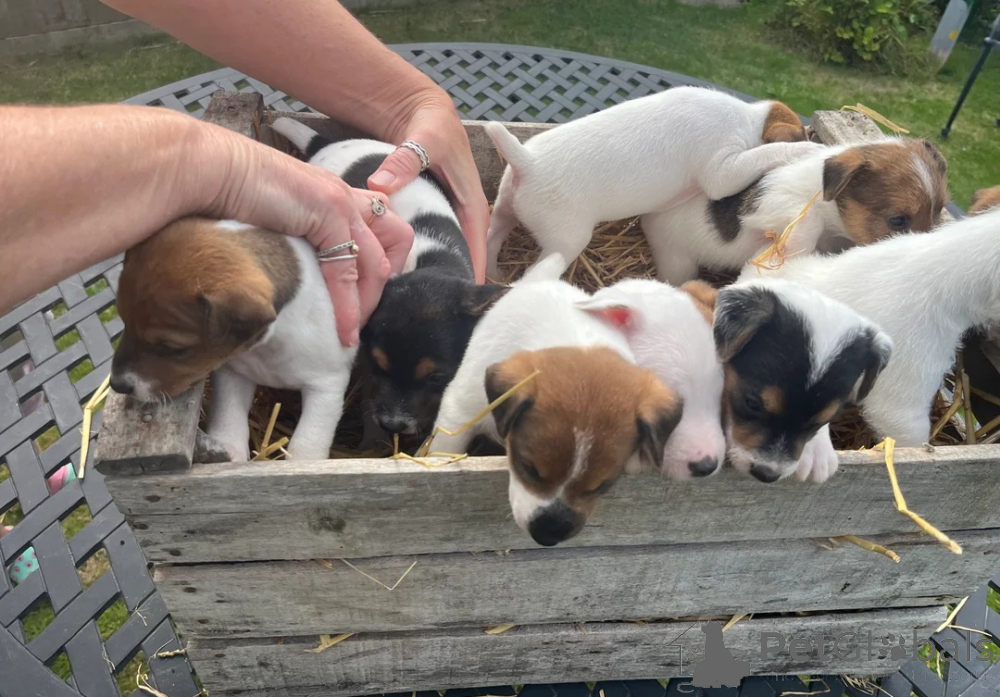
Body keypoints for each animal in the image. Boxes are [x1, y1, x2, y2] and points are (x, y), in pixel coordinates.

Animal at [111, 217, 353, 461]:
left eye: (171, 347)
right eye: (124, 321)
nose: (116, 384)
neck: (265, 348)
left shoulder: (325, 386)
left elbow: (307, 442)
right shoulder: (232, 374)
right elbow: (229, 415)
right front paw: (229, 451)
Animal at [272, 118, 507, 449]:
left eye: (436, 378)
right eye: (377, 366)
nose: (394, 425)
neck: (420, 262)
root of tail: (327, 144)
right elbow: (370, 396)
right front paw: (374, 443)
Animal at [483, 86, 823, 277]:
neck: (750, 119)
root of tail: (528, 162)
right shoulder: (721, 171)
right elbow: (762, 155)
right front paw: (808, 151)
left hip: (504, 206)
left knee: (492, 236)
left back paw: (492, 272)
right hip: (566, 239)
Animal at [641, 138, 949, 284]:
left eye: (940, 211)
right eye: (897, 220)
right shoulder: (770, 202)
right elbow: (806, 223)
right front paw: (791, 251)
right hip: (676, 260)